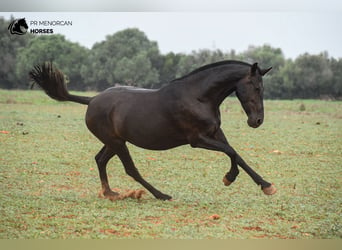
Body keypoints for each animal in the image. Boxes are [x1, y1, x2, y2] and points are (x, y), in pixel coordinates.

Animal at [28, 61, 276, 201]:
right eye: (256, 87)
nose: (257, 120)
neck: (199, 97)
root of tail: (91, 101)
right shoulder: (197, 139)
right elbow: (231, 153)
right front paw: (228, 178)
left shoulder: (215, 133)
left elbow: (237, 154)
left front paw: (266, 186)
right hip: (117, 143)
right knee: (130, 169)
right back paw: (161, 195)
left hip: (114, 141)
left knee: (100, 159)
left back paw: (110, 193)